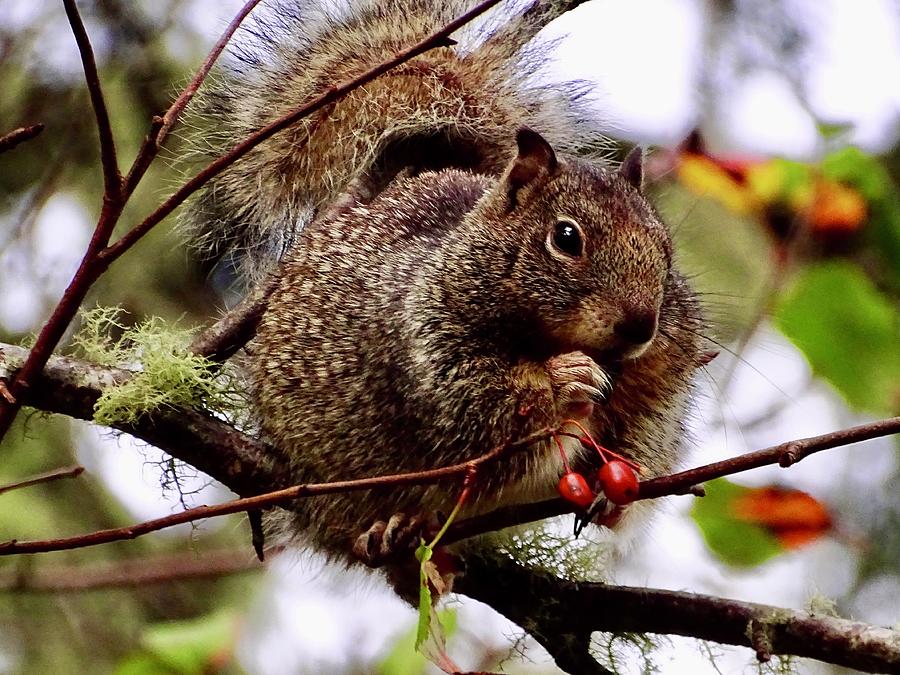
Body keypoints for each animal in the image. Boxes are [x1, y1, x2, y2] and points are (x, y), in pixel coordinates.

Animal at [186, 0, 708, 600]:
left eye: (666, 251)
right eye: (566, 238)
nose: (641, 326)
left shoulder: (662, 380)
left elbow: (642, 438)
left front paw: (613, 488)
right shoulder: (430, 354)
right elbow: (486, 422)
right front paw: (566, 380)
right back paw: (394, 536)